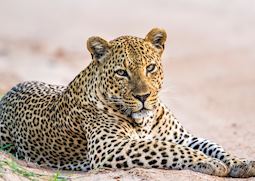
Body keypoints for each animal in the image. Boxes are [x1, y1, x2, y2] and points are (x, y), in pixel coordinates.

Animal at [0, 27, 254, 177]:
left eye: (150, 68)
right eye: (122, 73)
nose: (143, 97)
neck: (145, 121)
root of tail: (10, 89)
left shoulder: (182, 136)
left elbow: (215, 146)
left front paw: (242, 163)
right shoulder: (109, 146)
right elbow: (164, 147)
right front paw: (209, 163)